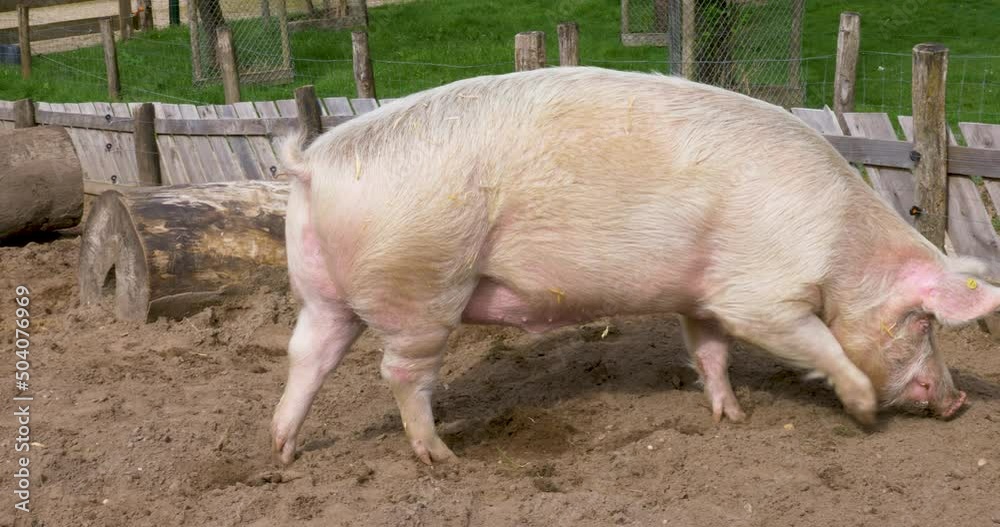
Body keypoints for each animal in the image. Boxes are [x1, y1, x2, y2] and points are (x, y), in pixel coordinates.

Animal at [272, 67, 1000, 466]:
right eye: (924, 321)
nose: (960, 399)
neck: (843, 246)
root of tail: (312, 164)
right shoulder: (758, 295)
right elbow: (817, 342)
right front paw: (864, 415)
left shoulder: (702, 294)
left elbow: (710, 352)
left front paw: (732, 418)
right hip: (420, 286)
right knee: (399, 373)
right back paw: (440, 456)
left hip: (321, 291)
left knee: (306, 356)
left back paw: (281, 448)